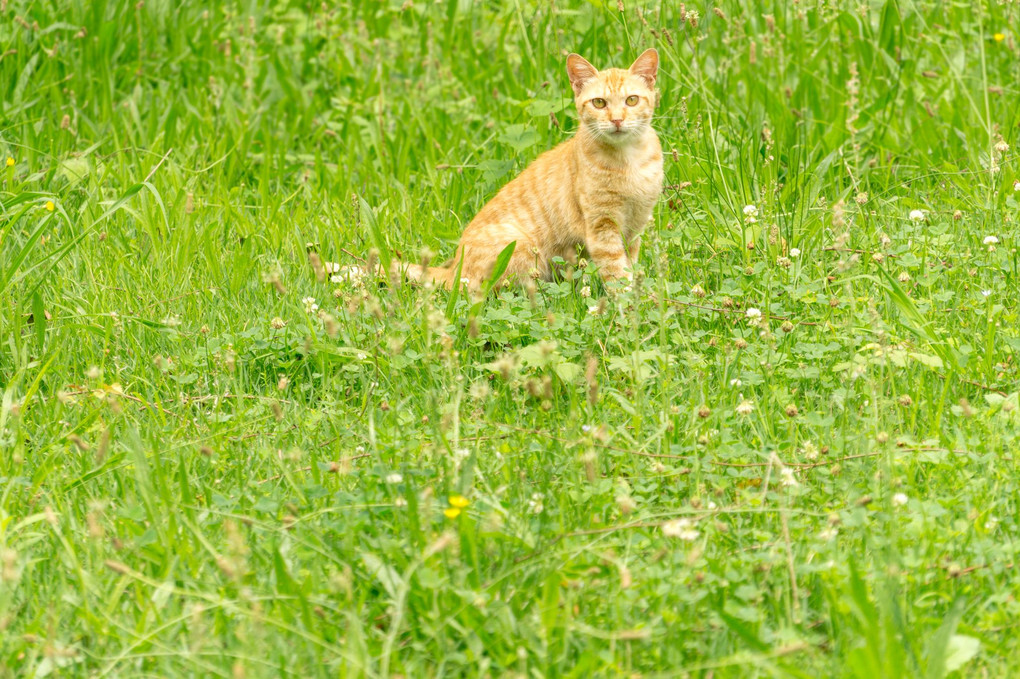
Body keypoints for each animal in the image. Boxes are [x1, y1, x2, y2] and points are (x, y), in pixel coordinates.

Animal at [357, 47, 660, 291]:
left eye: (632, 100)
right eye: (599, 103)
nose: (617, 120)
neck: (629, 160)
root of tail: (453, 270)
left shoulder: (634, 227)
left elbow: (630, 265)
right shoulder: (602, 228)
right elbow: (616, 271)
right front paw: (627, 304)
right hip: (522, 247)